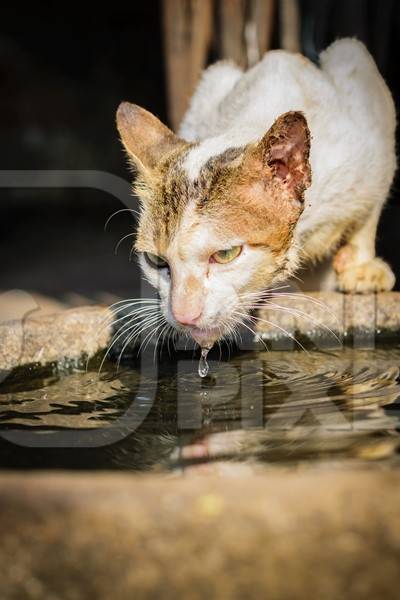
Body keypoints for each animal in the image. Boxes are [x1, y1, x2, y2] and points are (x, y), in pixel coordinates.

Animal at [116, 38, 396, 346]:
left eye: (226, 254)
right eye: (155, 261)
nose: (184, 316)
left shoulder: (371, 135)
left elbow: (370, 212)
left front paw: (361, 267)